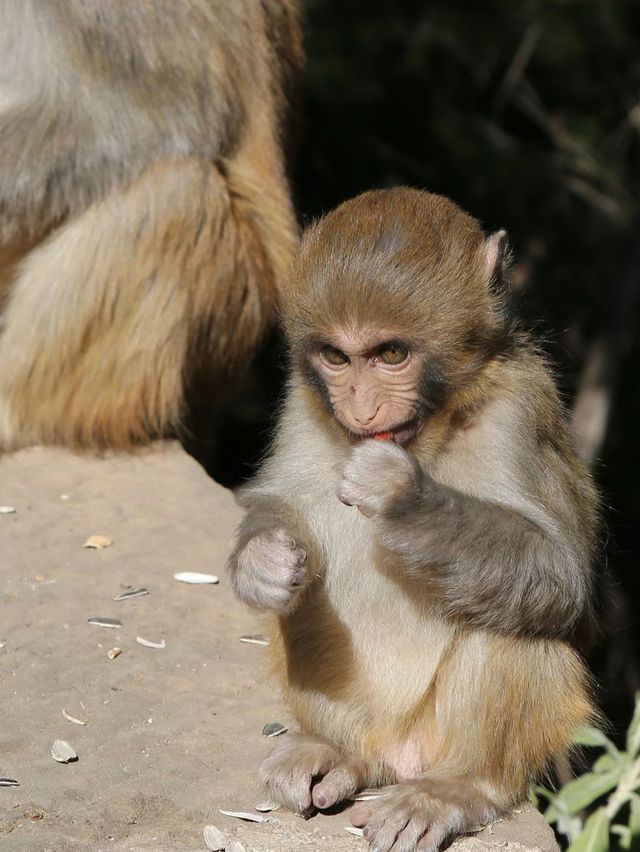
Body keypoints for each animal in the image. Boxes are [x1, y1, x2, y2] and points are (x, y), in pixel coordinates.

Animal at [228, 188, 596, 852]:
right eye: (337, 357)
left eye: (391, 354)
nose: (360, 407)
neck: (433, 428)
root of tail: (400, 752)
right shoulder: (303, 398)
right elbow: (283, 502)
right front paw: (261, 561)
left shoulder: (518, 410)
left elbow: (560, 576)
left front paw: (402, 496)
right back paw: (338, 751)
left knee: (511, 614)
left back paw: (457, 788)